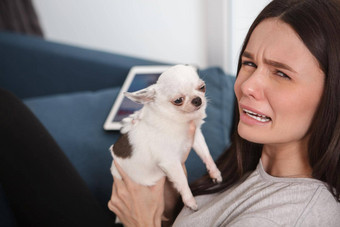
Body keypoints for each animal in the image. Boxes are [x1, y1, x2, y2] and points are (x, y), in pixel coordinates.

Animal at [109, 64, 224, 210]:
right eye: (178, 100)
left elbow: (206, 154)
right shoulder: (170, 162)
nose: (197, 99)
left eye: (202, 87)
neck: (176, 119)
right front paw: (190, 201)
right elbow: (182, 181)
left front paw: (214, 172)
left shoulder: (196, 137)